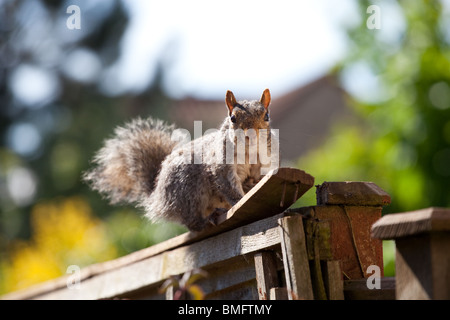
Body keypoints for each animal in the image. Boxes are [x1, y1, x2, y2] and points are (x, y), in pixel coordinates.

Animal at [83, 89, 276, 231]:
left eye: (266, 116)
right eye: (233, 118)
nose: (250, 134)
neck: (249, 152)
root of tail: (157, 195)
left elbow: (255, 179)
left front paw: (253, 187)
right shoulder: (221, 166)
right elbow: (228, 187)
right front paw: (240, 202)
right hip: (188, 188)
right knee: (190, 221)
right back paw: (206, 220)